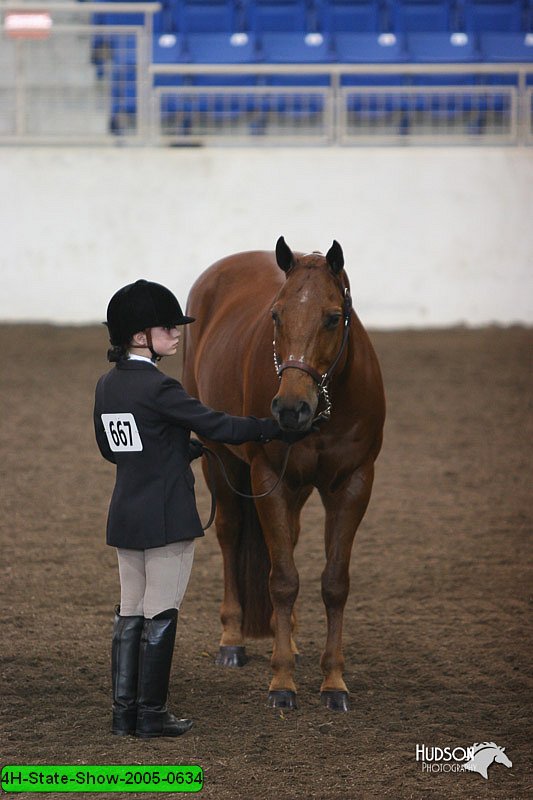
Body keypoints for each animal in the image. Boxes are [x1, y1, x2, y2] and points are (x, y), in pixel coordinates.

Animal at [182, 238, 382, 712]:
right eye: (275, 314)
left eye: (333, 317)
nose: (290, 409)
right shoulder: (267, 476)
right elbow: (284, 580)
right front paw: (282, 684)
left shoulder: (353, 483)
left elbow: (334, 583)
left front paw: (333, 682)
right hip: (219, 459)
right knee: (231, 534)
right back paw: (233, 640)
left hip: (298, 488)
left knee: (287, 540)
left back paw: (284, 638)